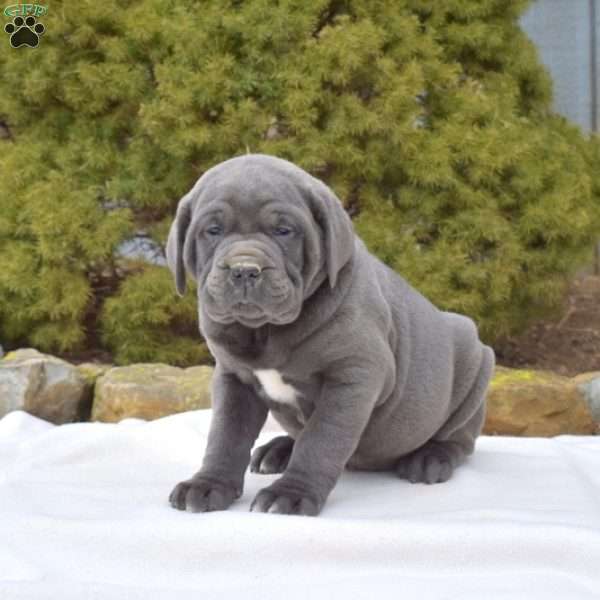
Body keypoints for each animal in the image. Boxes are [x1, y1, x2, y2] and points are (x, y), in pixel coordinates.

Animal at [164, 154, 492, 516]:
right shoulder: (234, 377)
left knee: (460, 438)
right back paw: (278, 449)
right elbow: (225, 435)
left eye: (284, 231)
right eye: (213, 231)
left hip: (474, 363)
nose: (245, 269)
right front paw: (209, 484)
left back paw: (430, 458)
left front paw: (291, 494)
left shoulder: (353, 374)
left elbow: (321, 439)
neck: (264, 332)